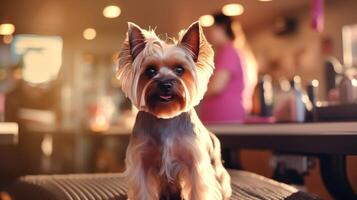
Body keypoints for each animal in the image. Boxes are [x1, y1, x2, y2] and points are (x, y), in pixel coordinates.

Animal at [116, 21, 231, 199]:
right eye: (150, 70)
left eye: (179, 70)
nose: (165, 84)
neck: (166, 117)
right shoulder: (141, 162)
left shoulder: (195, 163)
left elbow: (198, 190)